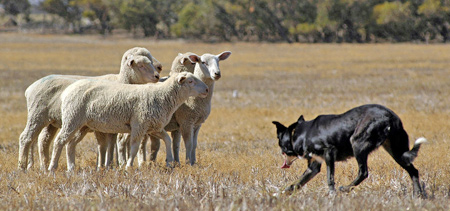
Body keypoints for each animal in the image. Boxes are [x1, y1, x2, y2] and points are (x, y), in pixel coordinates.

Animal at [18, 47, 162, 171]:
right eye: (141, 65)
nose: (158, 72)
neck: (121, 81)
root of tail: (30, 88)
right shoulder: (105, 125)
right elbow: (106, 145)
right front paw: (108, 165)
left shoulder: (111, 126)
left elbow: (110, 145)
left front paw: (110, 165)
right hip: (37, 115)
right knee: (26, 138)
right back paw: (23, 167)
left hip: (50, 121)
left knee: (43, 141)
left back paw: (43, 166)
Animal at [48, 71, 211, 171]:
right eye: (191, 81)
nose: (207, 90)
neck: (162, 96)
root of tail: (67, 90)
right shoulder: (139, 125)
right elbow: (134, 148)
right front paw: (128, 166)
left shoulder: (152, 126)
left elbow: (167, 139)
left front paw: (170, 162)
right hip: (72, 118)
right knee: (59, 141)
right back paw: (52, 168)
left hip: (81, 125)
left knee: (70, 144)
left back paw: (71, 168)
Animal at [272, 104, 428, 197]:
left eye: (280, 144)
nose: (281, 153)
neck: (301, 134)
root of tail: (390, 116)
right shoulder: (314, 166)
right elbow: (297, 183)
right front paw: (282, 193)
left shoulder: (329, 153)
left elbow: (330, 179)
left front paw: (332, 195)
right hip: (397, 152)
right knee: (413, 171)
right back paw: (418, 195)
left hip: (357, 143)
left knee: (363, 172)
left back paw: (346, 188)